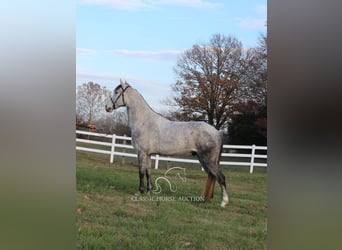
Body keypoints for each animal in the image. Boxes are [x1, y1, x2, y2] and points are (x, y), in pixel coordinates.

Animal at [103, 79, 227, 207]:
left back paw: (223, 202)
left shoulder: (141, 153)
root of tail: (217, 132)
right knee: (213, 176)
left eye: (116, 92)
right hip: (204, 160)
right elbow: (148, 172)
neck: (144, 121)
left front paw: (139, 192)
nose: (106, 107)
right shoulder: (148, 154)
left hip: (209, 161)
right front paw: (149, 191)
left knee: (221, 177)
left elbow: (141, 172)